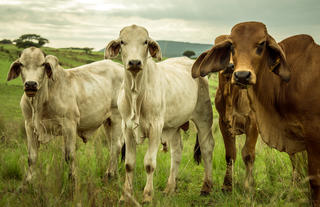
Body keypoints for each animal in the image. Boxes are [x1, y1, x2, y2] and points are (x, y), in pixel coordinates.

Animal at [6, 47, 124, 191]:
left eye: (42, 64)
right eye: (22, 64)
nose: (31, 84)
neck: (40, 101)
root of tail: (119, 66)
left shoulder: (69, 125)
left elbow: (70, 155)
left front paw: (72, 181)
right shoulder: (29, 126)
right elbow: (32, 157)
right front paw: (26, 183)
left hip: (117, 117)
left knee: (116, 146)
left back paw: (110, 175)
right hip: (107, 121)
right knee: (114, 146)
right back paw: (113, 174)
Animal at [105, 24, 215, 204]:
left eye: (145, 41)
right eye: (122, 42)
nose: (134, 62)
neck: (136, 94)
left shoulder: (155, 127)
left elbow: (149, 164)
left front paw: (147, 196)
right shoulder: (126, 127)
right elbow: (129, 164)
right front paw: (125, 196)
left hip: (204, 118)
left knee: (207, 148)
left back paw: (206, 187)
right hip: (174, 125)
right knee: (177, 152)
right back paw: (170, 188)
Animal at [192, 21, 320, 206]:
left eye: (261, 44)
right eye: (230, 46)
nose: (235, 70)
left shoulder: (252, 123)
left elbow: (248, 155)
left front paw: (249, 188)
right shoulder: (224, 122)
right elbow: (230, 155)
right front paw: (227, 187)